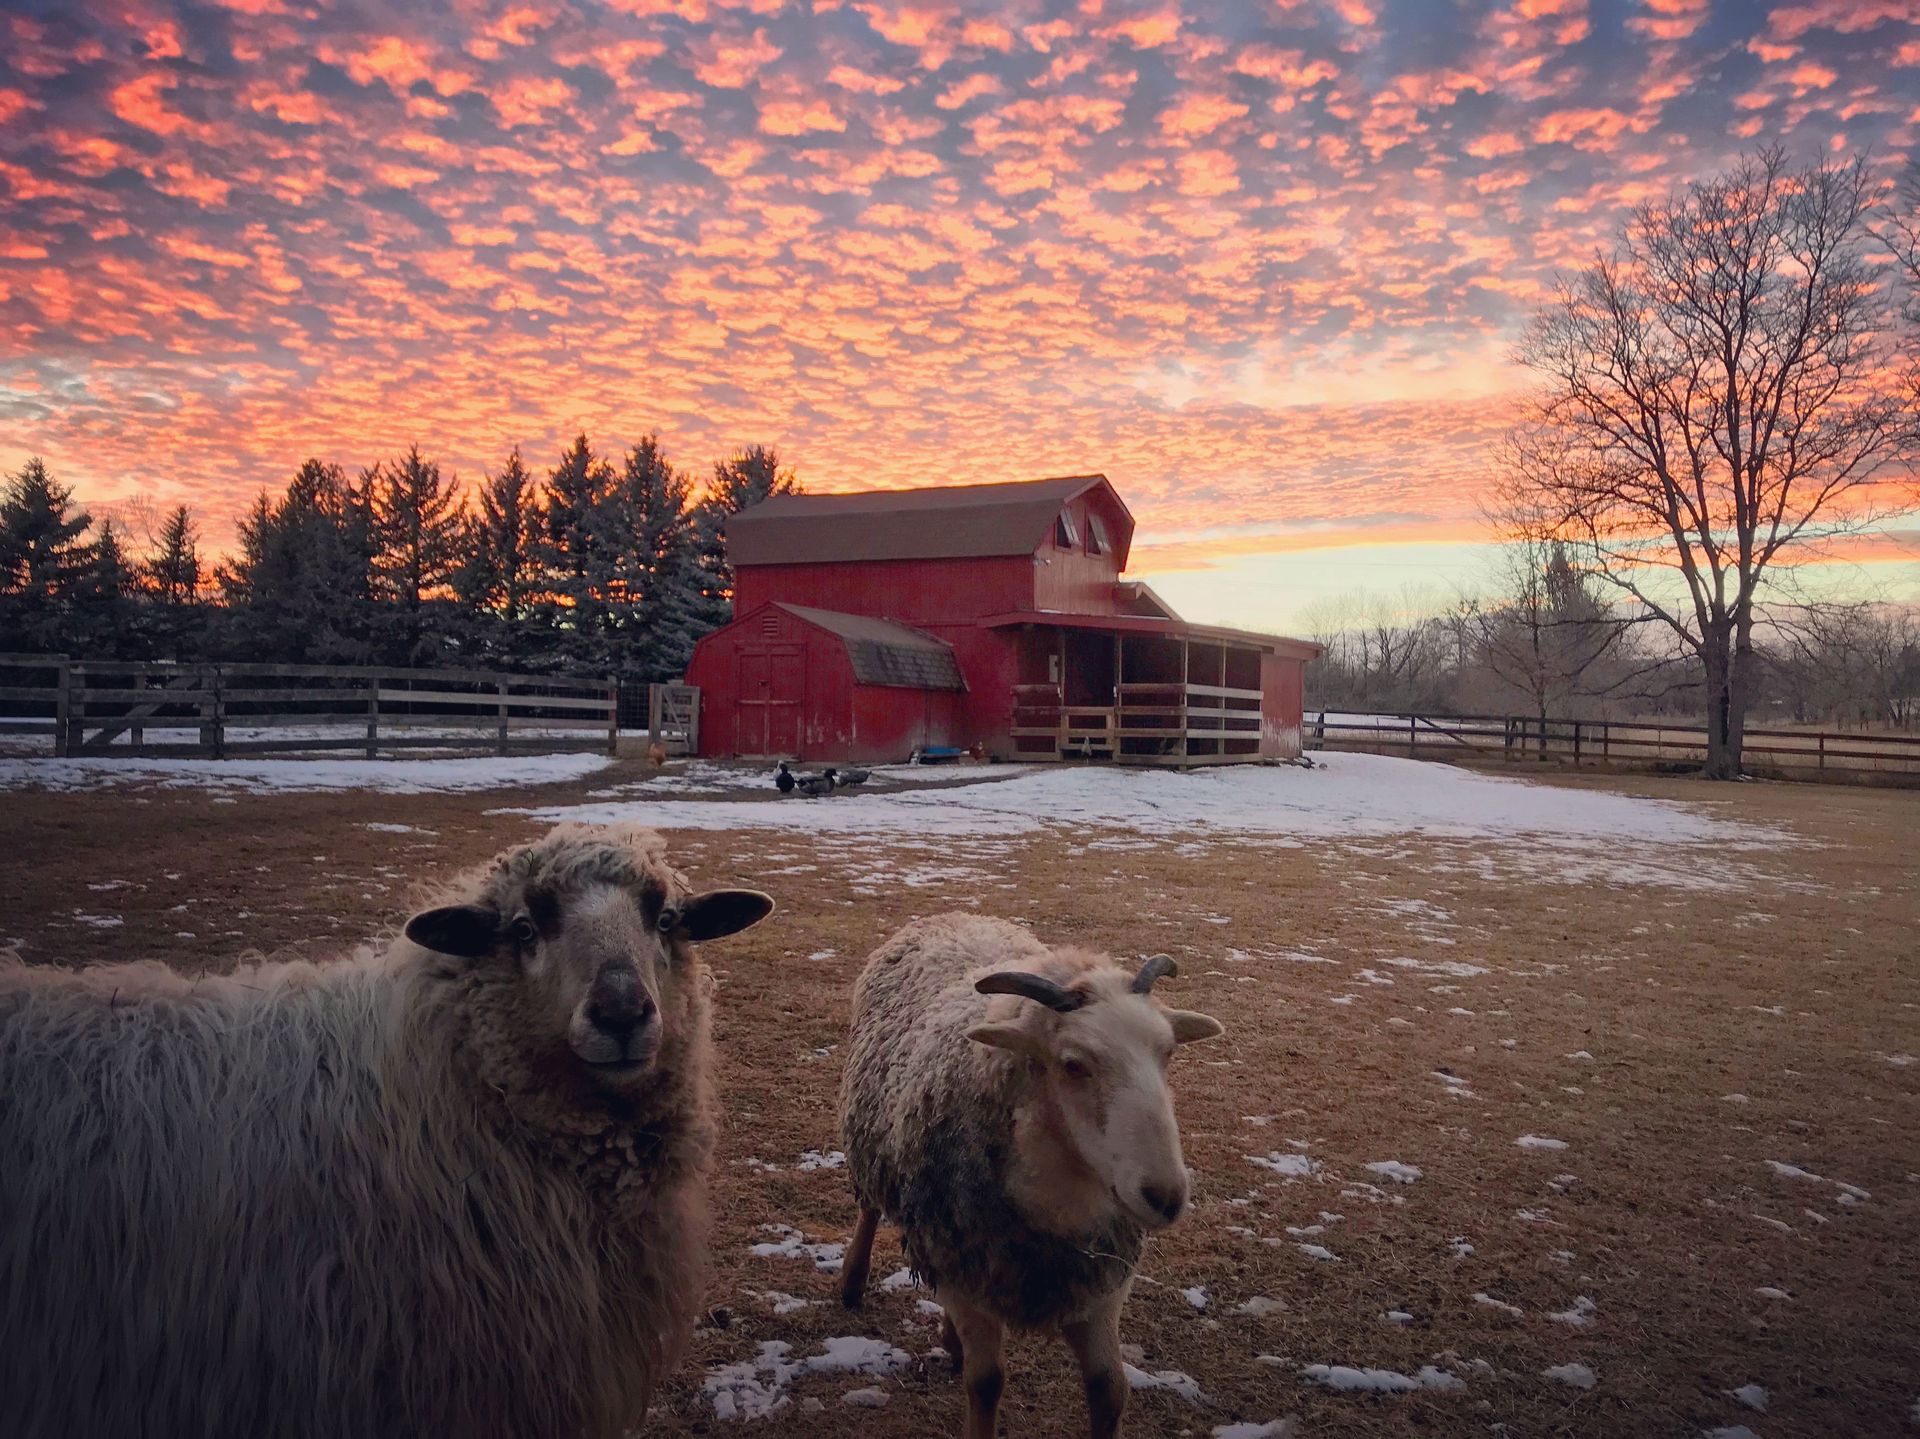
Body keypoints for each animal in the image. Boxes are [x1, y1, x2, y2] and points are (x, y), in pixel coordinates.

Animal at [837, 914, 1224, 1439]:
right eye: (1072, 1064)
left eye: (1168, 1053)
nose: (1165, 1196)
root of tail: (958, 914)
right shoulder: (959, 1265)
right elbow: (986, 1383)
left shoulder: (1099, 1283)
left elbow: (1110, 1389)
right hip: (874, 1138)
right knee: (869, 1209)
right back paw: (852, 1282)